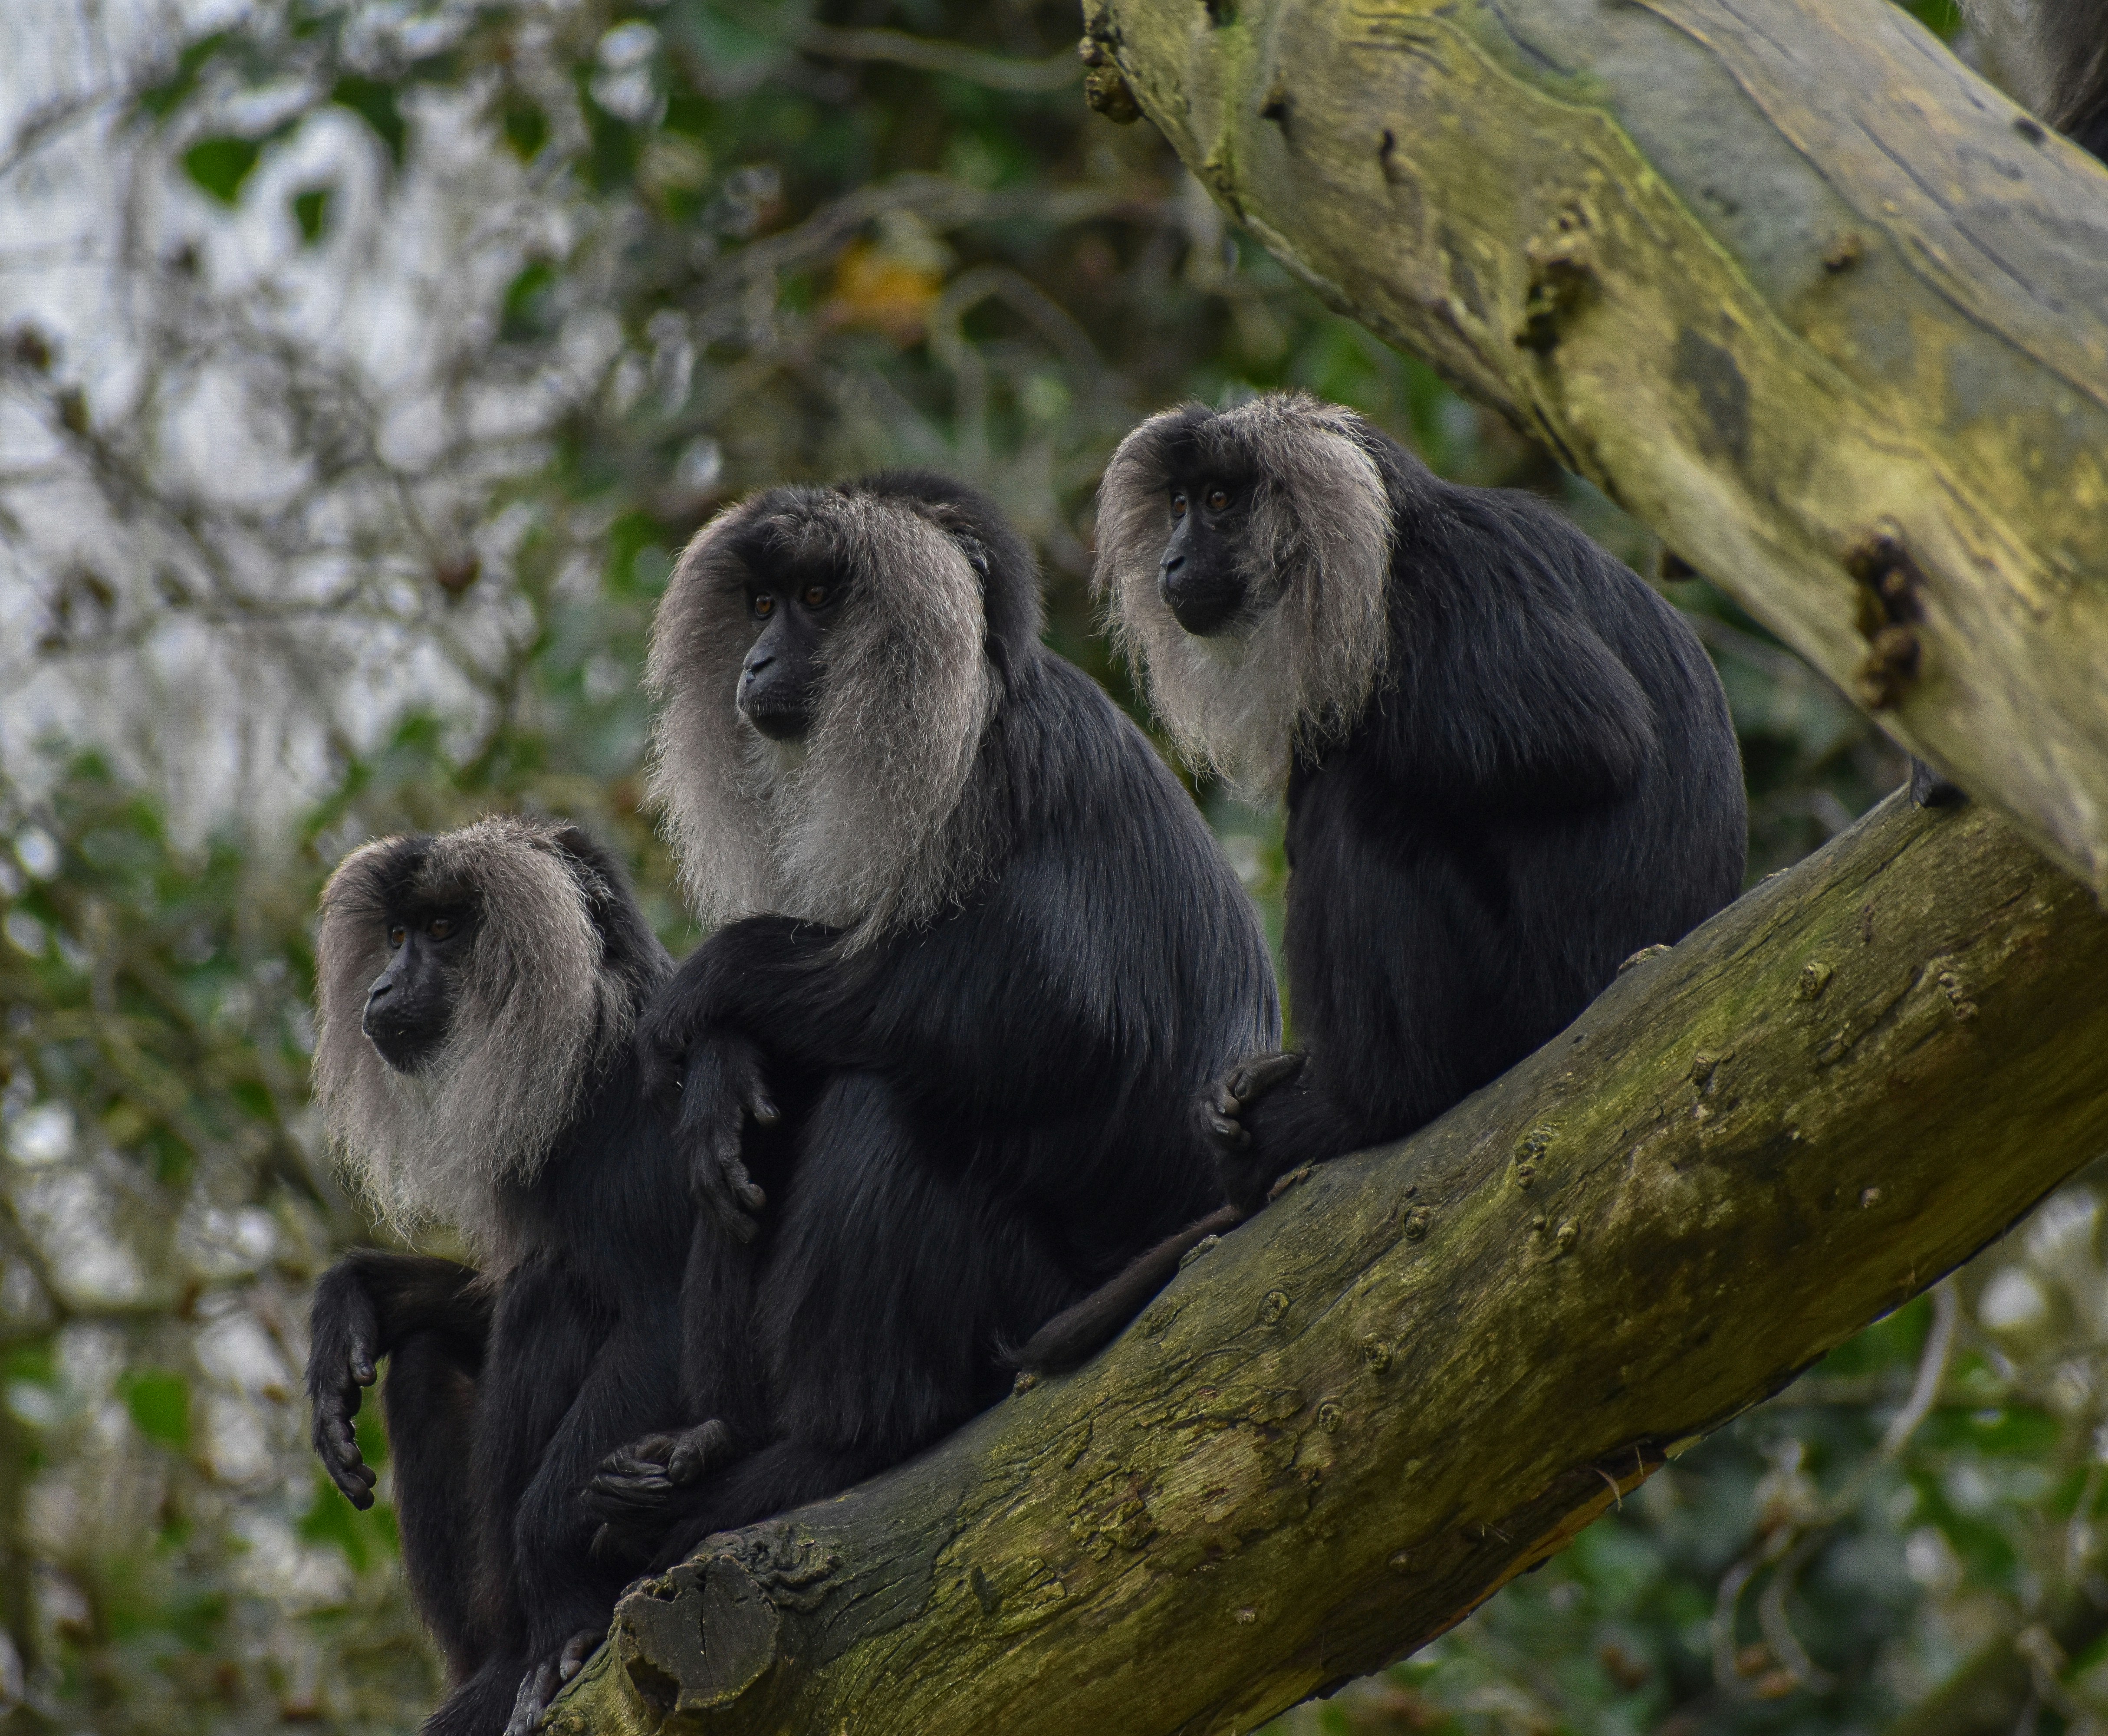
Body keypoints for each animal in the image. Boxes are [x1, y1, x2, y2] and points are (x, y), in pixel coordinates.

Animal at [304, 817, 693, 1736]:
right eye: (399, 935)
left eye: (445, 931)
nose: (382, 987)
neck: (589, 1047)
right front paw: (354, 1299)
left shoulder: (646, 1118)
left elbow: (665, 1320)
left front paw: (553, 1568)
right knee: (431, 1356)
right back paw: (486, 1663)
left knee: (553, 1295)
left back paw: (531, 1642)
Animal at [577, 469, 1280, 1567]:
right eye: (761, 604)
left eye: (816, 600)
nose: (757, 661)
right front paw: (719, 1066)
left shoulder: (1001, 770)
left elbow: (1066, 1012)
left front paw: (712, 986)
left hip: (1032, 1293)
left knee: (883, 1098)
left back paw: (838, 1450)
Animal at [1018, 393, 1746, 1373]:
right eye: (1175, 506)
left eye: (1219, 503)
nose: (1170, 560)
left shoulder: (1445, 586)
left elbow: (1585, 737)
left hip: (1523, 1000)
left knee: (1362, 804)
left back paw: (1353, 1108)